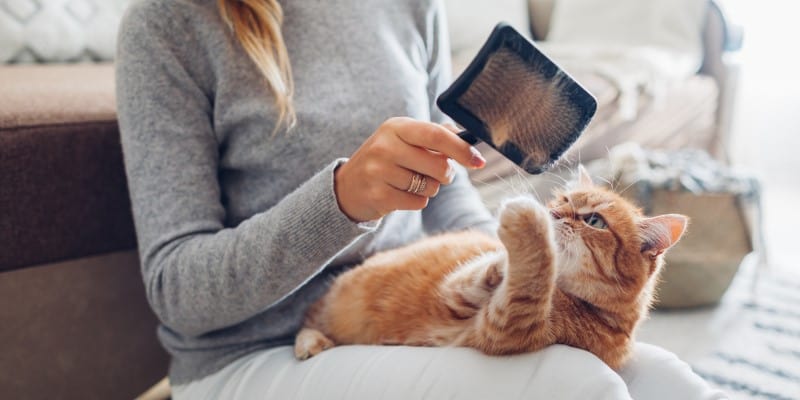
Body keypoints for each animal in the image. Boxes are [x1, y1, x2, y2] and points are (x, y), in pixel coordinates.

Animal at [296, 166, 688, 368]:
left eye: (594, 221)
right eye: (562, 200)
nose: (553, 213)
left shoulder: (503, 328)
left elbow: (532, 279)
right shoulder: (458, 290)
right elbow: (492, 267)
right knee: (309, 319)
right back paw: (311, 341)